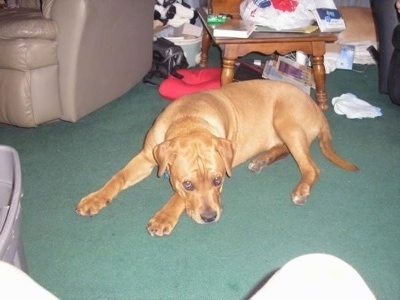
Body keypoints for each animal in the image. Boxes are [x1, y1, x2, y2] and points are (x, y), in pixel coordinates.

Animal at [76, 79, 358, 237]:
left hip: (286, 121)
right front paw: (95, 198)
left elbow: (176, 199)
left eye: (218, 181)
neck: (189, 120)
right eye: (188, 184)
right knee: (286, 151)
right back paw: (262, 160)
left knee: (311, 167)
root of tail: (318, 108)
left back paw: (300, 189)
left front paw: (164, 217)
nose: (210, 218)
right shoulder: (147, 157)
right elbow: (118, 177)